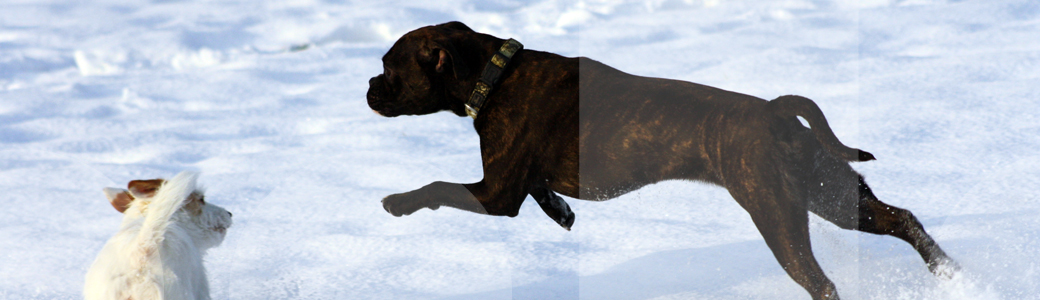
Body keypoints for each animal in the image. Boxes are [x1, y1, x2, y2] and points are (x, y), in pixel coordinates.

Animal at [366, 21, 956, 300]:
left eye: (389, 68)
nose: (368, 86)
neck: (493, 73)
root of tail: (773, 110)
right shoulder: (514, 182)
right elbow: (541, 190)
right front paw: (560, 210)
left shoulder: (494, 195)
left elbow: (436, 188)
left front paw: (396, 201)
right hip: (831, 192)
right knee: (903, 219)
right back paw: (949, 276)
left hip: (777, 213)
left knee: (821, 281)